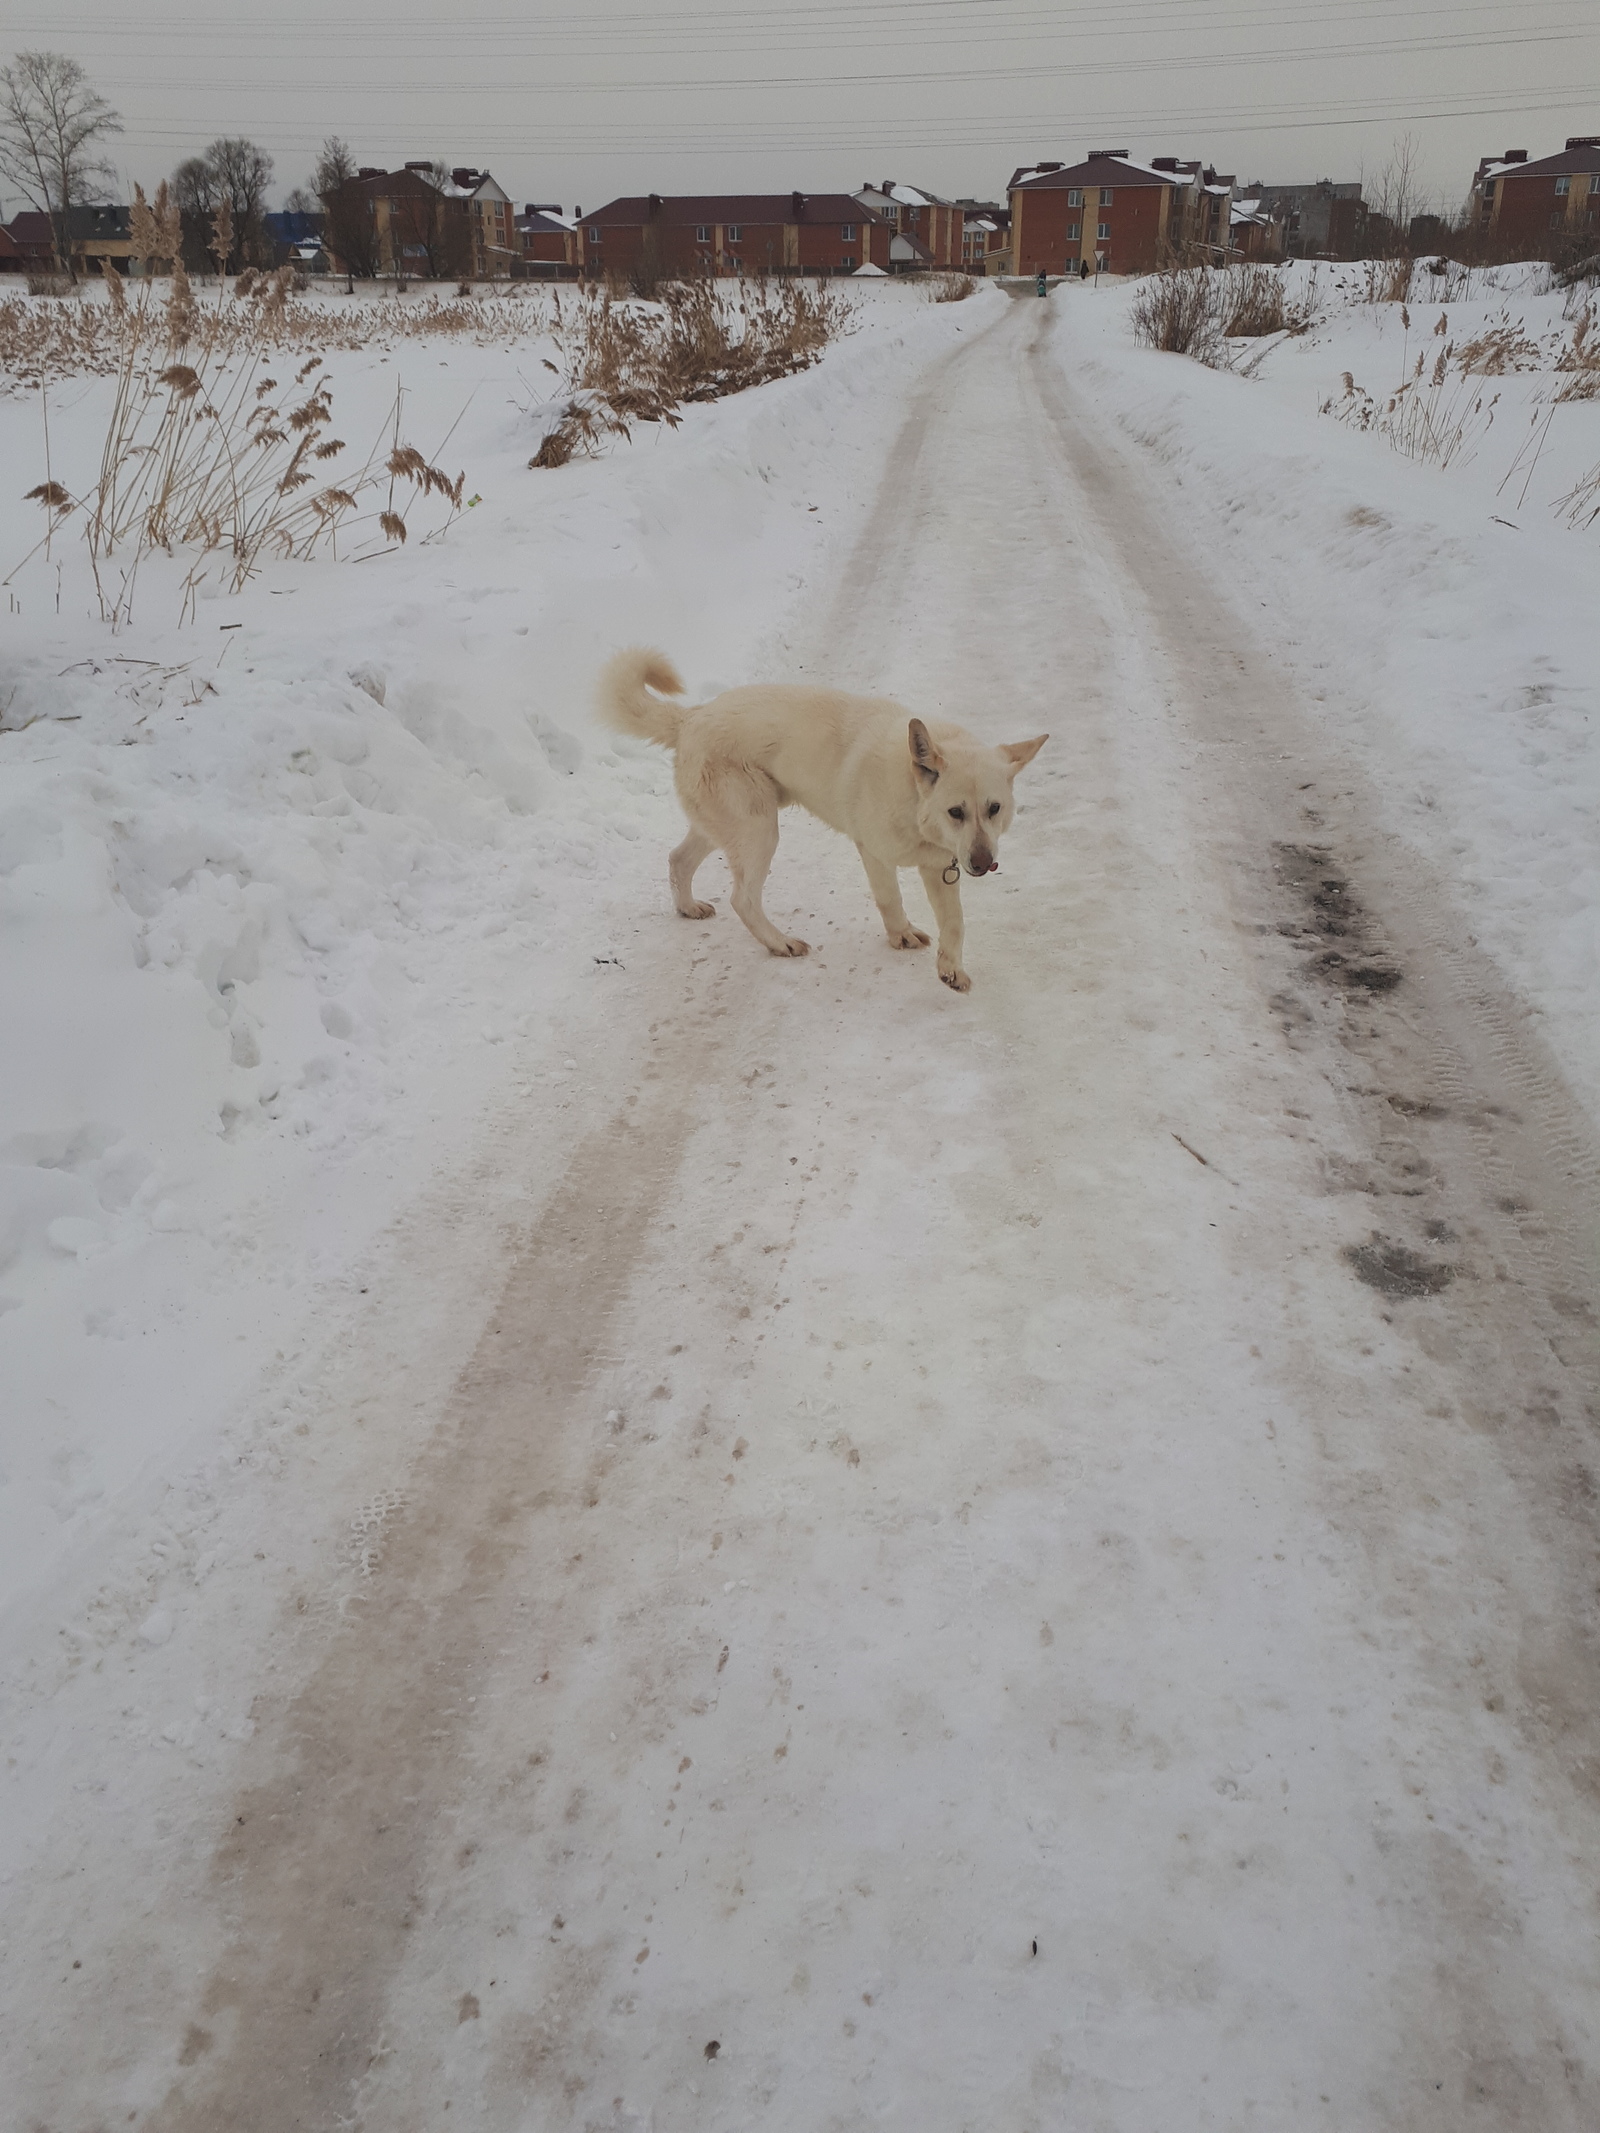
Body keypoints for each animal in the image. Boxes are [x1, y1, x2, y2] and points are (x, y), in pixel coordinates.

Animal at [597, 648, 1045, 989]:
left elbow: (955, 923)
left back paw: (688, 908)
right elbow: (891, 899)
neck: (911, 796)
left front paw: (950, 969)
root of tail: (690, 718)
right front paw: (900, 936)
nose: (983, 864)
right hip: (760, 831)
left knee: (678, 860)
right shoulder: (874, 855)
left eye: (994, 809)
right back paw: (779, 943)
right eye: (956, 812)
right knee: (742, 898)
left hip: (725, 827)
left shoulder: (939, 869)